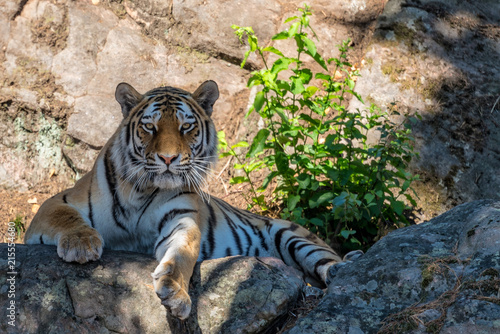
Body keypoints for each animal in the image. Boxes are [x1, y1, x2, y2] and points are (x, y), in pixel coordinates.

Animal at [25, 79, 350, 320]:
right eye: (150, 126)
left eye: (186, 127)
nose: (168, 158)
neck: (142, 191)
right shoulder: (57, 201)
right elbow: (66, 217)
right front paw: (81, 245)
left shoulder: (181, 220)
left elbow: (181, 255)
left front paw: (174, 292)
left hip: (294, 237)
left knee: (330, 264)